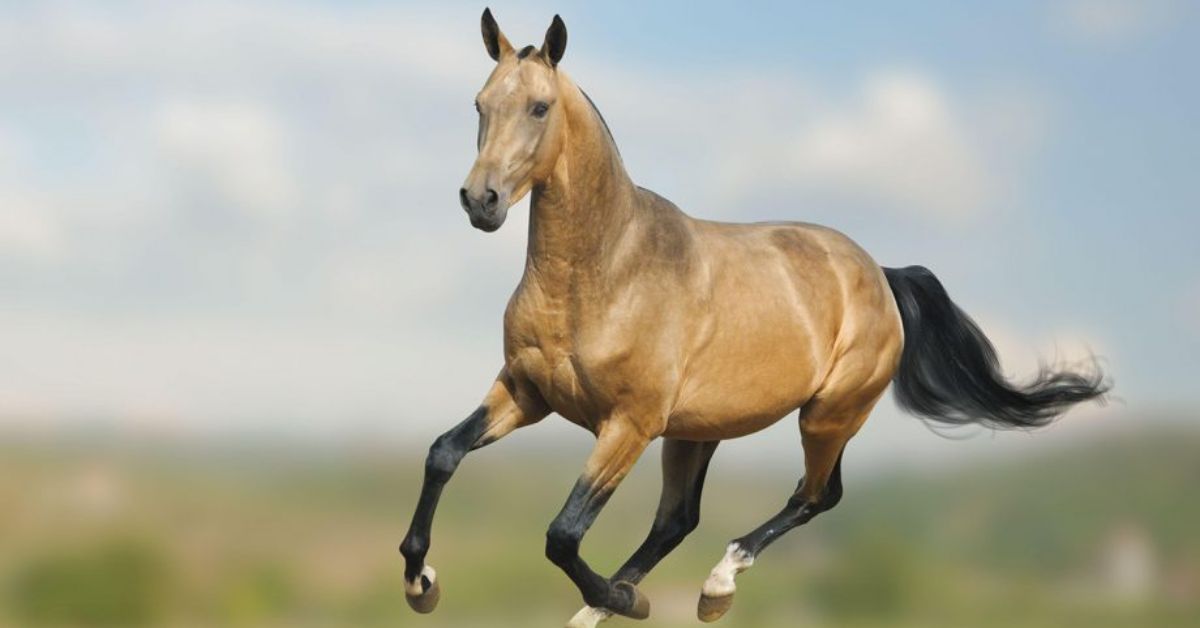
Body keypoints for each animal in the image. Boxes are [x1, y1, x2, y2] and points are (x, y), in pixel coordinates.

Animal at [400, 11, 1104, 628]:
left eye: (540, 108)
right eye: (479, 104)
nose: (481, 200)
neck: (602, 272)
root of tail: (881, 274)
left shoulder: (629, 423)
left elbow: (562, 534)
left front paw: (627, 600)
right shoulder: (527, 392)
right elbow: (443, 454)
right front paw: (420, 581)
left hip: (827, 415)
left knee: (814, 496)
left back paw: (709, 587)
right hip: (699, 431)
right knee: (679, 519)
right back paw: (615, 605)